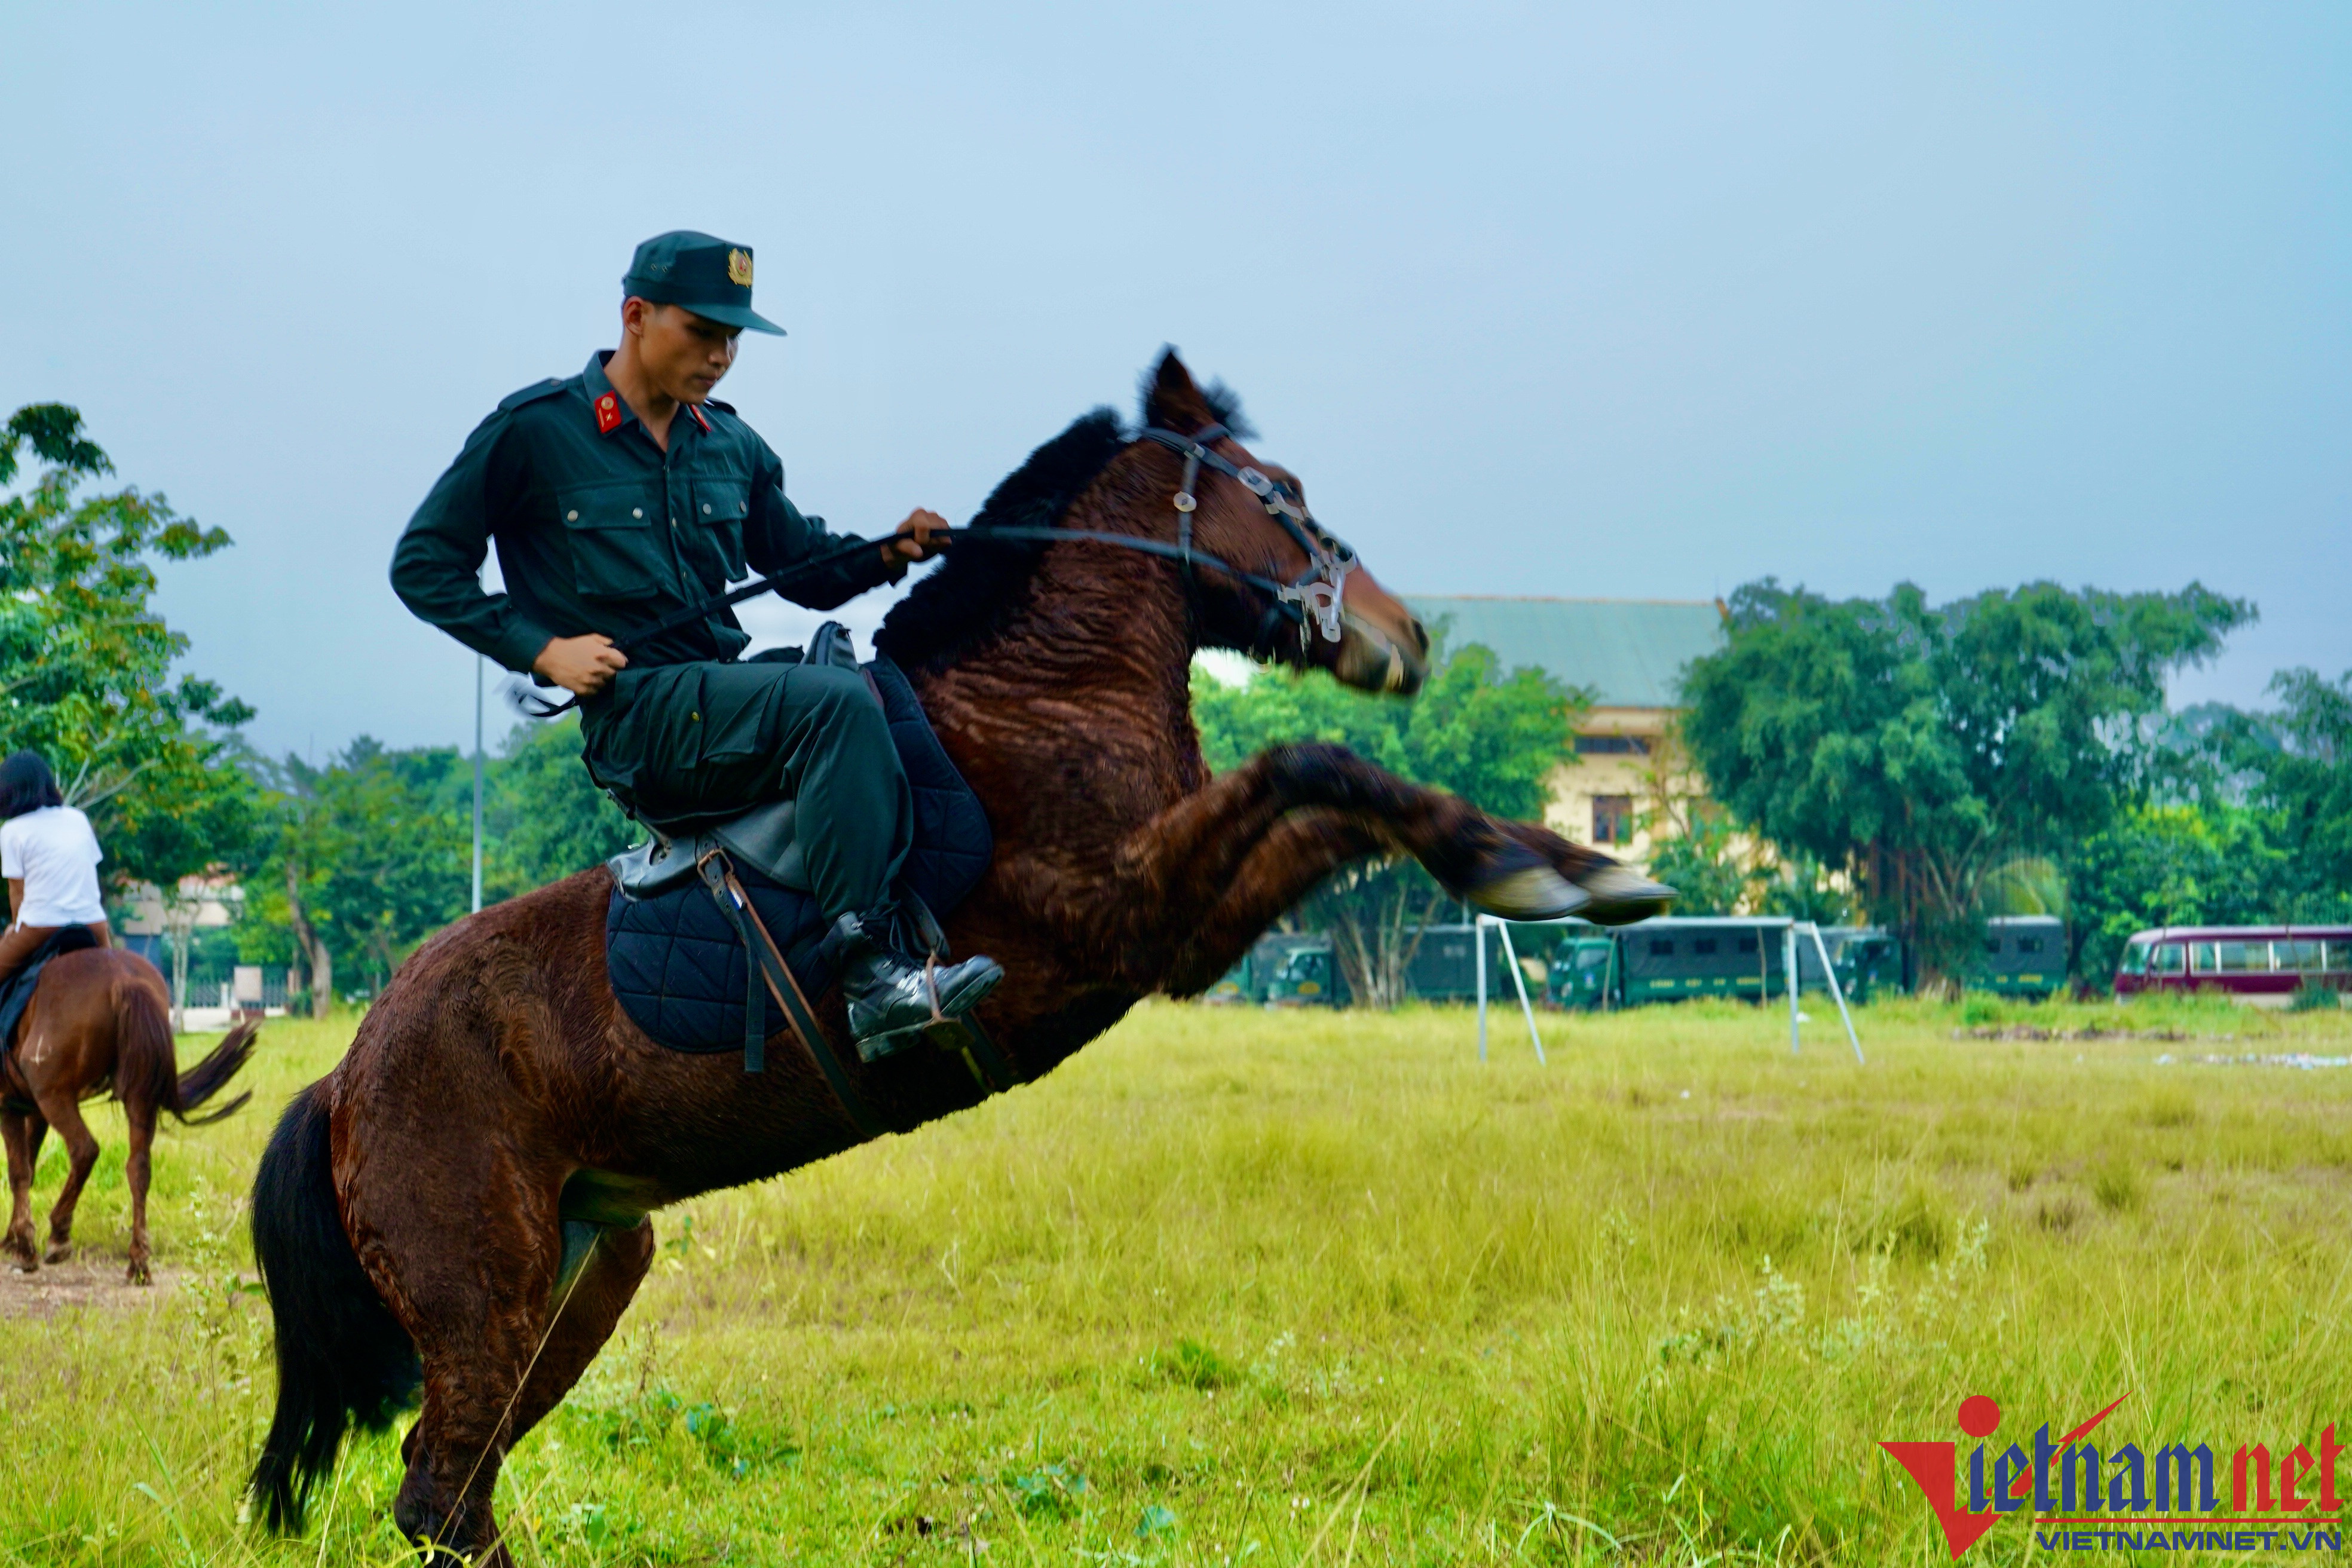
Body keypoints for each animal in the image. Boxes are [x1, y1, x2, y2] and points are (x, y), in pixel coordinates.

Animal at [248, 353, 1665, 1561]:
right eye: (1284, 495)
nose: (1405, 635)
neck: (1045, 690)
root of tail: (344, 1078)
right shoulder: (1125, 909)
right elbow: (1316, 763)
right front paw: (1569, 870)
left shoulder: (1189, 927)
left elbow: (1339, 800)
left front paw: (1562, 865)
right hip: (482, 1287)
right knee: (442, 1485)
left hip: (586, 1269)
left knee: (454, 1484)